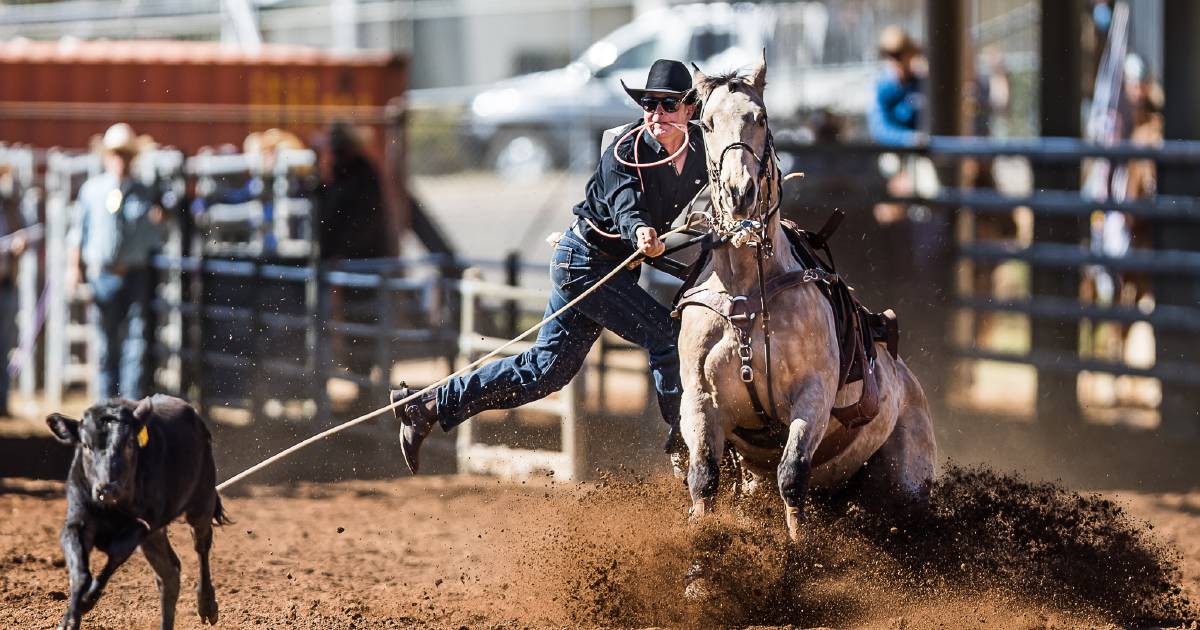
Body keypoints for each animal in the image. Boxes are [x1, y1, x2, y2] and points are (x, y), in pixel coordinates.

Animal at [46, 393, 226, 628]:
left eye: (129, 444)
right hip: (156, 534)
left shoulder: (142, 526)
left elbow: (115, 555)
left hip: (201, 504)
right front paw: (69, 619)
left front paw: (86, 601)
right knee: (169, 574)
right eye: (85, 445)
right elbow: (80, 573)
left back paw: (207, 604)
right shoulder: (77, 523)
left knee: (201, 546)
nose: (107, 488)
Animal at [681, 57, 931, 540]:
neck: (747, 293)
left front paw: (798, 554)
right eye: (706, 123)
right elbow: (704, 478)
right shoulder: (700, 401)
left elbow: (793, 475)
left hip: (907, 481)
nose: (740, 193)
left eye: (760, 118)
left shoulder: (812, 394)